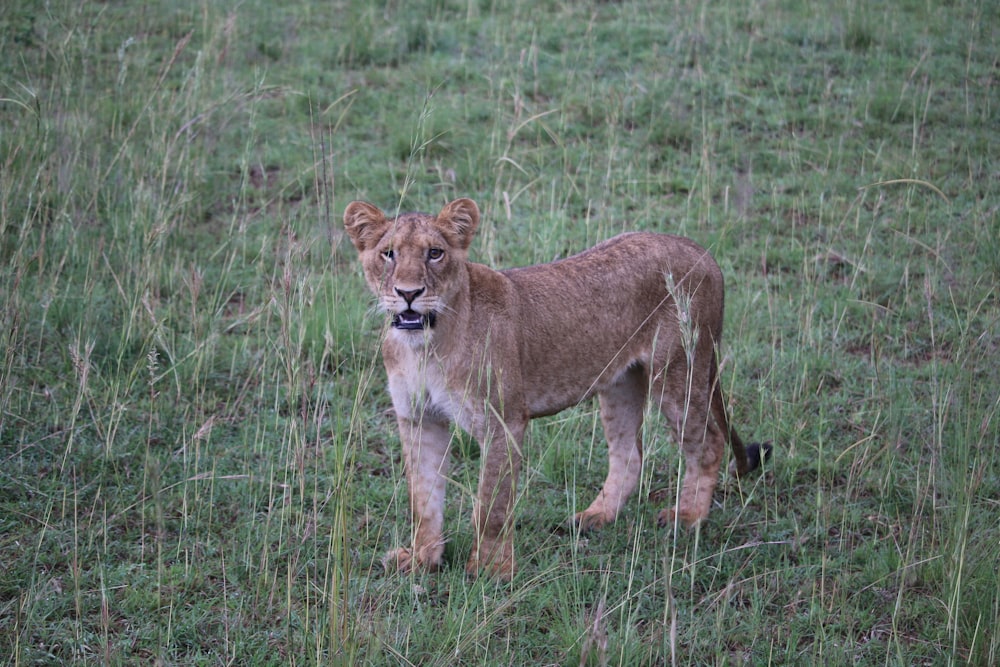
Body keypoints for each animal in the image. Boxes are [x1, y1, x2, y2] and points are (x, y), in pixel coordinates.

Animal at [340, 197, 768, 580]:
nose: (408, 294)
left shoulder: (503, 421)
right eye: (388, 254)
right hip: (621, 383)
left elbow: (492, 505)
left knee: (708, 442)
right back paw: (596, 516)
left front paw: (491, 570)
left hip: (680, 373)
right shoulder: (418, 419)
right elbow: (424, 499)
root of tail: (701, 250)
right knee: (629, 454)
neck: (424, 345)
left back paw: (688, 518)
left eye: (435, 253)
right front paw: (422, 559)